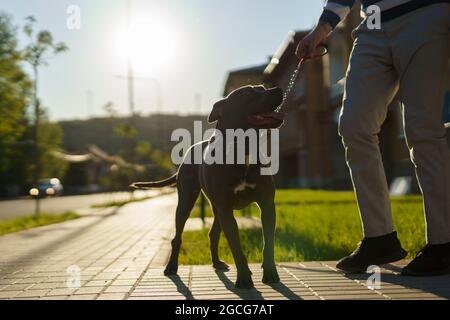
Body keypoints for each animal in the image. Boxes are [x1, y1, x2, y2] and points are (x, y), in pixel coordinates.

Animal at [130, 84, 284, 288]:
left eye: (262, 87)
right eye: (246, 93)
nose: (278, 89)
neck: (242, 150)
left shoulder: (266, 206)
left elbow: (268, 244)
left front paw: (270, 274)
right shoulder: (226, 209)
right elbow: (236, 247)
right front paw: (244, 278)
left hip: (217, 209)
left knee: (213, 233)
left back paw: (217, 263)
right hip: (186, 202)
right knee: (177, 237)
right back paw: (171, 267)